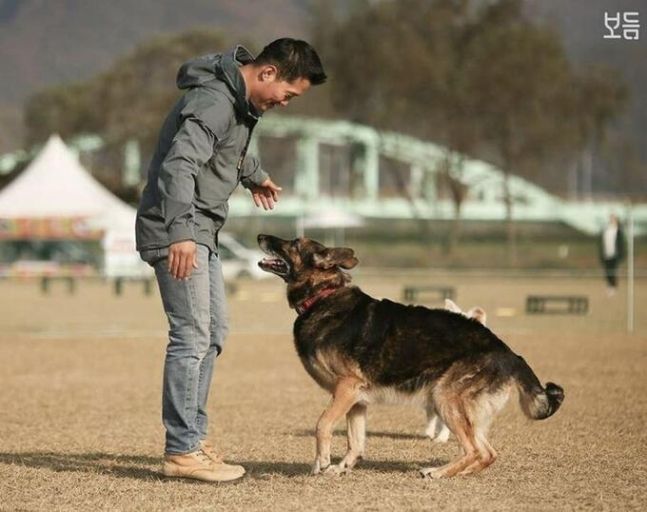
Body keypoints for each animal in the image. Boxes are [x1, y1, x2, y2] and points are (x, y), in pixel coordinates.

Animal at [256, 234, 560, 478]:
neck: (322, 296)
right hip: (463, 409)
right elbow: (355, 441)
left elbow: (322, 424)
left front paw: (321, 461)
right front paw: (342, 467)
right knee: (488, 453)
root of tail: (509, 353)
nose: (261, 235)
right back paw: (458, 472)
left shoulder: (346, 388)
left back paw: (438, 473)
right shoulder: (355, 399)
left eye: (294, 243)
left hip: (445, 398)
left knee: (475, 450)